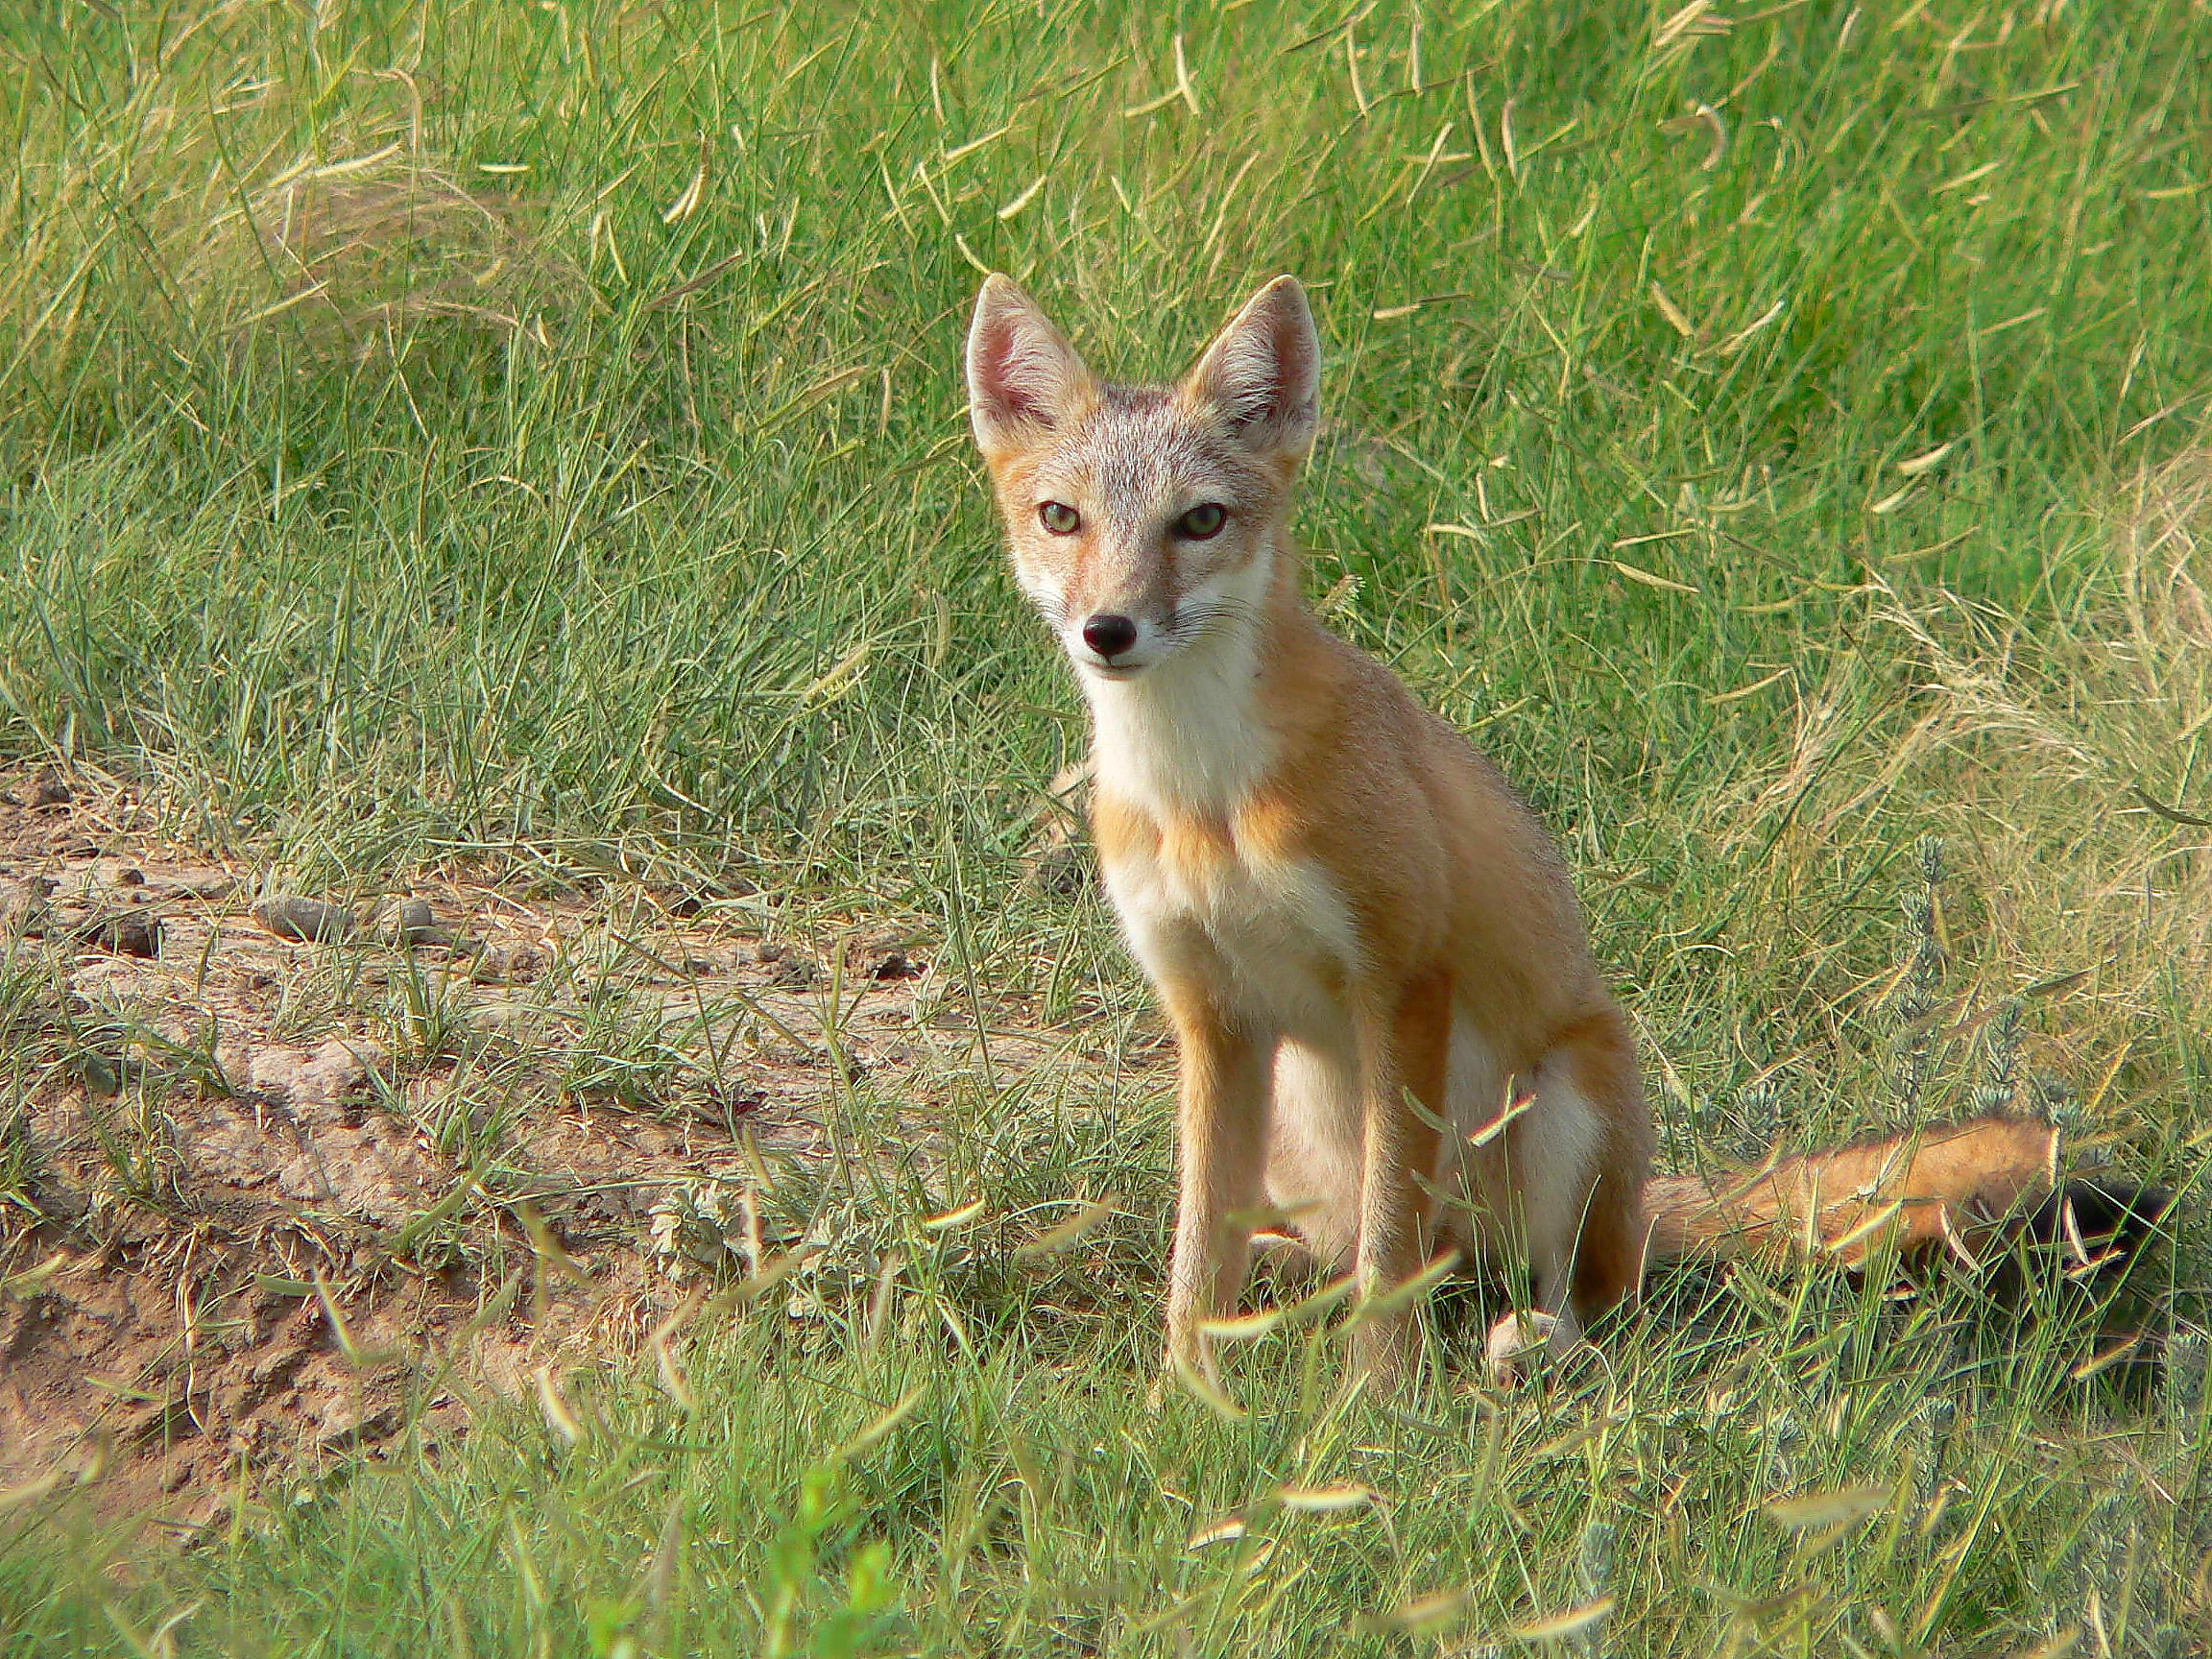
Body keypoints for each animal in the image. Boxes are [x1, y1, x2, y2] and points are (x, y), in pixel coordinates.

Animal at [964, 276, 2158, 1388]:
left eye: (1199, 520)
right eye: (1063, 518)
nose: (1108, 629)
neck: (1202, 799)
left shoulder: (1403, 980)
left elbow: (1389, 1246)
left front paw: (1373, 1405)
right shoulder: (1211, 1014)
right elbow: (1195, 1255)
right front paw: (1186, 1397)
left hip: (1562, 1108)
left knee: (1564, 1297)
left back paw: (1531, 1346)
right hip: (1302, 1123)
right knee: (1361, 1253)